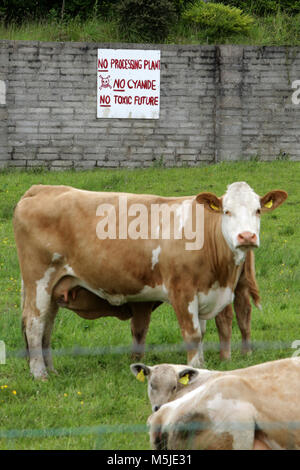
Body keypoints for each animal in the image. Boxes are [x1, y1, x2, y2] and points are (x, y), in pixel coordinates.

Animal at [13, 182, 286, 380]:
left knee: (47, 326)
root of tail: (41, 188)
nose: (246, 236)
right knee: (35, 324)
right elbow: (193, 335)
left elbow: (205, 331)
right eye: (227, 211)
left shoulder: (206, 294)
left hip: (54, 287)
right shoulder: (182, 291)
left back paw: (52, 369)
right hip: (38, 280)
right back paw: (39, 374)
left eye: (258, 210)